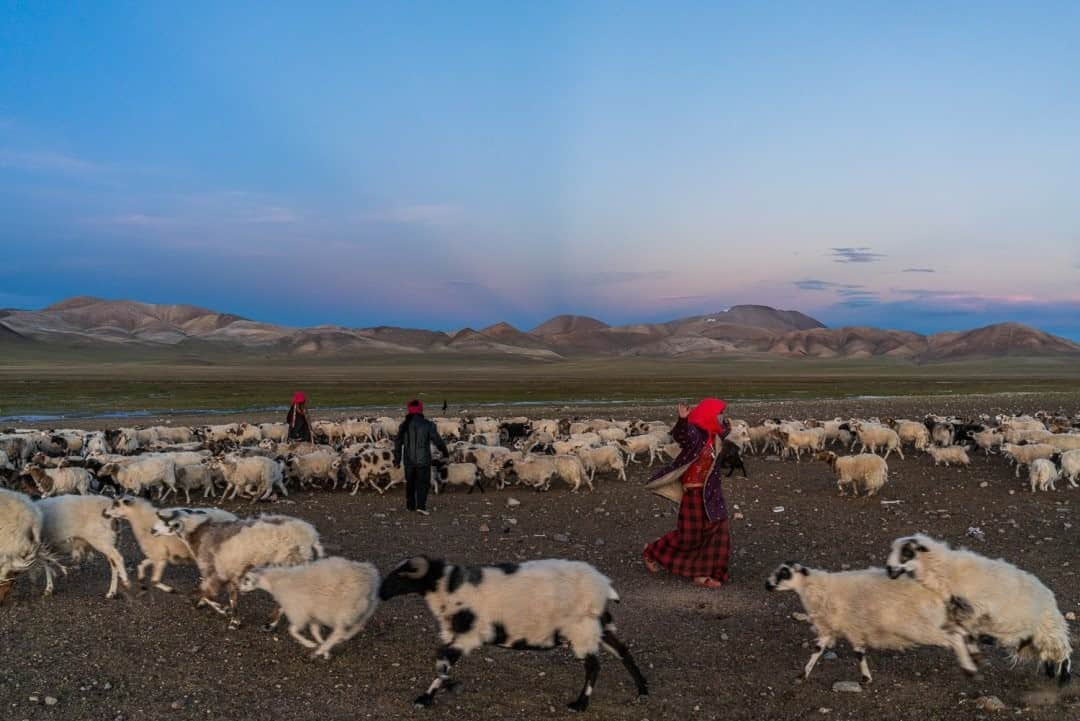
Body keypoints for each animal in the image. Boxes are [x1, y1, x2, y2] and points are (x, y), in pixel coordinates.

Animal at [239, 556, 380, 660]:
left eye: (246, 579)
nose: (239, 589)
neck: (276, 582)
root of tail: (370, 578)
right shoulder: (312, 613)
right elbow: (314, 631)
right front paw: (323, 650)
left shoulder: (298, 611)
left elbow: (292, 630)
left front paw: (311, 645)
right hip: (364, 607)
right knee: (359, 624)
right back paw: (342, 639)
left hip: (344, 608)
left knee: (339, 631)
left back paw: (321, 650)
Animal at [380, 556, 648, 712]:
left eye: (400, 575)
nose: (381, 593)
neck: (447, 589)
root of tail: (603, 585)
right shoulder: (456, 634)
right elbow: (442, 661)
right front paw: (434, 693)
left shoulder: (469, 635)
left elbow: (442, 661)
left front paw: (431, 695)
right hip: (598, 626)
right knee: (623, 651)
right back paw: (642, 690)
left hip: (582, 630)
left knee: (594, 666)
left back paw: (580, 704)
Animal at [760, 561, 980, 686]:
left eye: (784, 573)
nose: (767, 585)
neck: (814, 588)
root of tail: (938, 593)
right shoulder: (831, 627)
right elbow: (818, 650)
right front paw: (802, 675)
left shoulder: (851, 627)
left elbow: (858, 653)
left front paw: (866, 678)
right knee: (961, 631)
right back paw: (974, 654)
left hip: (921, 627)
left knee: (955, 637)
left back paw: (969, 669)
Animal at [885, 535, 1071, 686]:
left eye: (906, 552)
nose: (888, 569)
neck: (944, 569)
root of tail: (1050, 597)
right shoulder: (965, 612)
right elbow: (967, 634)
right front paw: (975, 656)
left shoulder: (978, 608)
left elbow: (968, 632)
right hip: (1030, 635)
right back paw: (1050, 672)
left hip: (1049, 631)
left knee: (1064, 652)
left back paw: (1064, 677)